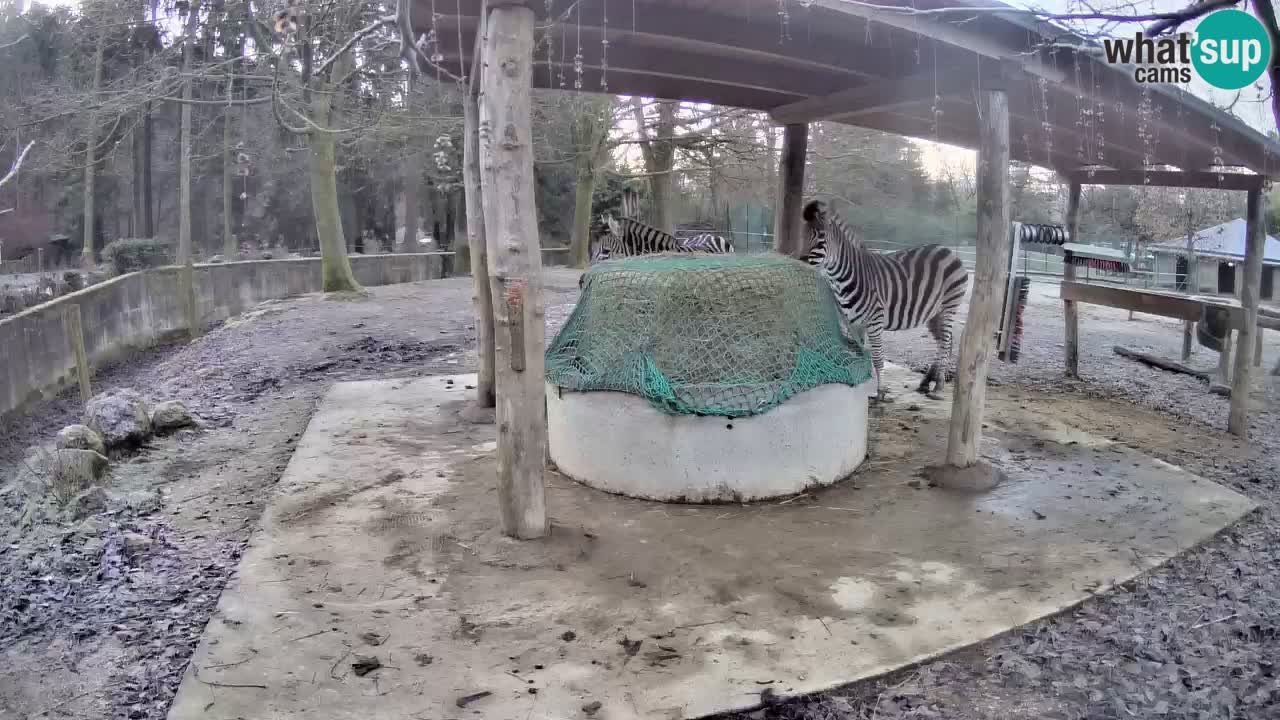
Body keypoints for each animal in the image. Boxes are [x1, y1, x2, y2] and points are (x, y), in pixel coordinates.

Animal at [798, 198, 967, 399]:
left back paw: (938, 385)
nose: (800, 260)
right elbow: (861, 353)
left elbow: (878, 358)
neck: (843, 277)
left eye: (821, 236)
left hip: (949, 306)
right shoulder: (855, 322)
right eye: (802, 234)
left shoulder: (875, 320)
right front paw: (862, 379)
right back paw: (927, 381)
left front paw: (880, 391)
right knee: (943, 342)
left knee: (946, 342)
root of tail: (948, 250)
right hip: (933, 314)